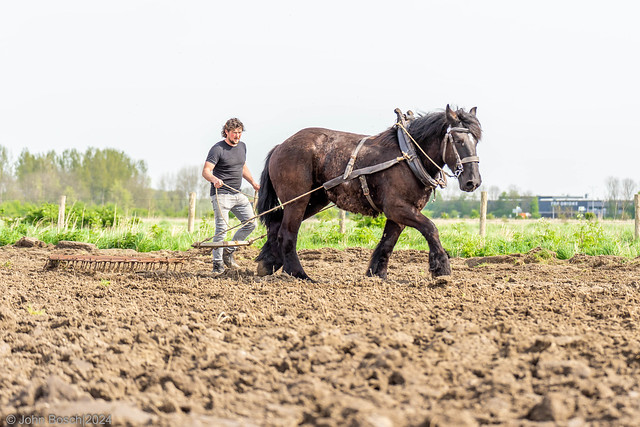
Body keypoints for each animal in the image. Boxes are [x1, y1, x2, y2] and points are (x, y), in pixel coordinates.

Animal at [255, 106, 480, 280]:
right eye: (458, 140)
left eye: (476, 140)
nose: (473, 181)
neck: (409, 156)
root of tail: (280, 146)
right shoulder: (397, 208)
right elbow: (431, 228)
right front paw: (441, 267)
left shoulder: (401, 213)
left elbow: (388, 242)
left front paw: (377, 273)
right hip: (297, 201)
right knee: (288, 233)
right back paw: (298, 274)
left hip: (314, 200)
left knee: (276, 224)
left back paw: (268, 262)